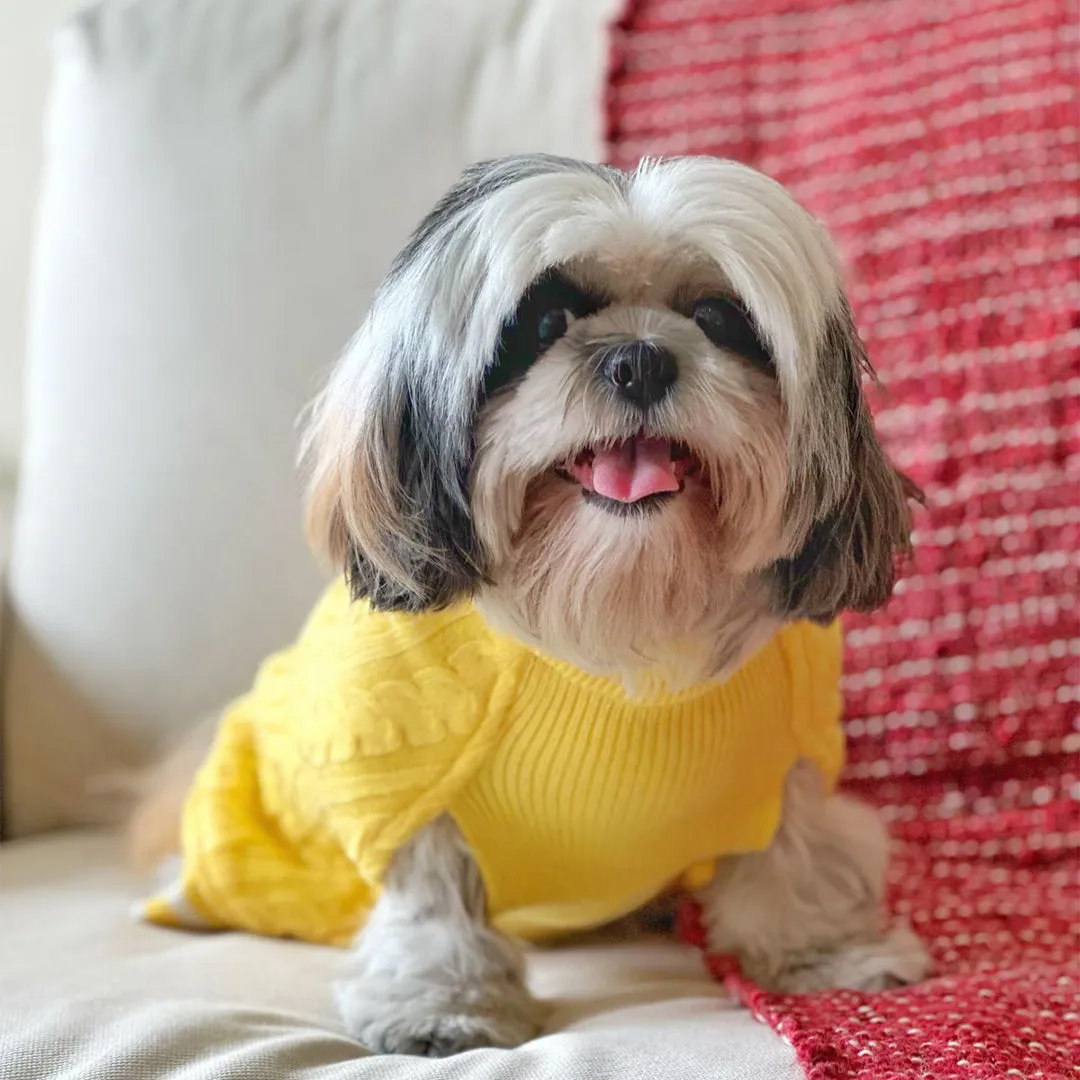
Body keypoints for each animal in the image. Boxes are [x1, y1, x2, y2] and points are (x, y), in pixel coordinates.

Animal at [132, 156, 928, 1058]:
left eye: (718, 316)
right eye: (545, 320)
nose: (639, 358)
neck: (620, 615)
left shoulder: (787, 752)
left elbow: (795, 854)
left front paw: (823, 953)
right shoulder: (409, 777)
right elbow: (434, 899)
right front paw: (443, 1002)